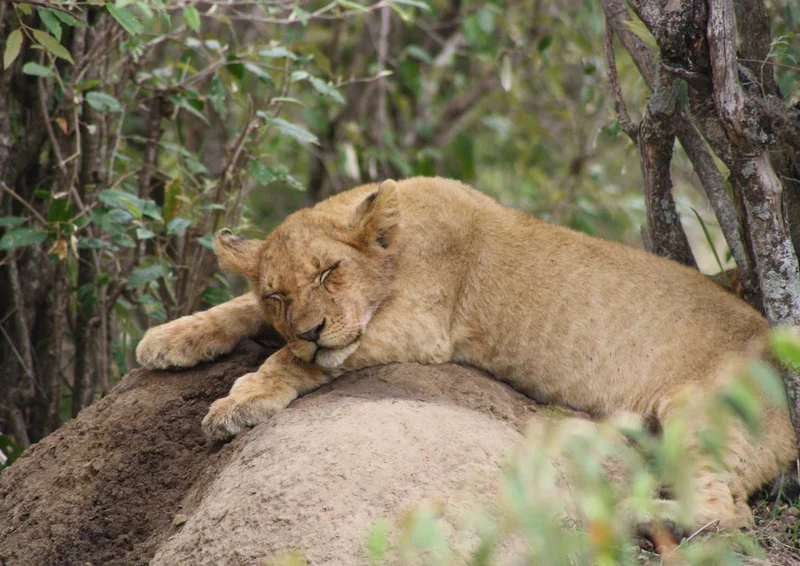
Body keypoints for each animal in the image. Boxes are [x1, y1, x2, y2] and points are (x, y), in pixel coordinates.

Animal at [137, 176, 797, 531]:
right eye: (277, 293)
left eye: (329, 272)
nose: (312, 328)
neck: (397, 243)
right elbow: (237, 311)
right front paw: (168, 338)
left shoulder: (420, 329)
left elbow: (288, 360)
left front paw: (237, 402)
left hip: (700, 410)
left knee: (726, 514)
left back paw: (624, 513)